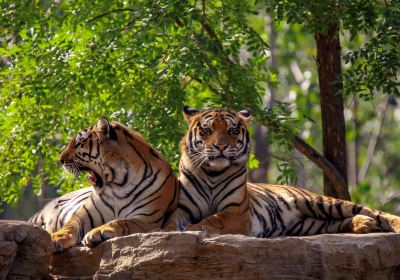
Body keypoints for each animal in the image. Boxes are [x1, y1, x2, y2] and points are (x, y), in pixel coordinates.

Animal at [28, 117, 178, 250]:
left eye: (79, 143)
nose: (60, 159)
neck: (120, 183)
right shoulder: (85, 215)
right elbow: (70, 226)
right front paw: (55, 237)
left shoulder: (146, 219)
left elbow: (121, 222)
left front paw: (98, 231)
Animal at [163, 106, 400, 236]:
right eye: (207, 130)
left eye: (232, 130)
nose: (220, 146)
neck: (213, 173)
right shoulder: (181, 208)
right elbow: (171, 222)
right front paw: (168, 232)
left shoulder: (235, 213)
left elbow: (211, 220)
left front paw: (193, 229)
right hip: (309, 224)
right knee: (336, 223)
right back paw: (363, 224)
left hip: (321, 202)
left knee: (374, 212)